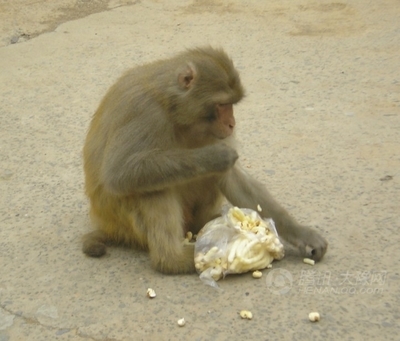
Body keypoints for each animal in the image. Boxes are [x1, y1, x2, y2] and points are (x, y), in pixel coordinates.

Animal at [82, 46, 328, 274]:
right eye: (222, 105)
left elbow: (232, 178)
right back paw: (174, 259)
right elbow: (119, 173)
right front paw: (217, 156)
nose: (232, 123)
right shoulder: (143, 110)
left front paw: (302, 234)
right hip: (124, 222)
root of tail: (105, 224)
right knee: (150, 187)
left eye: (232, 105)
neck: (172, 106)